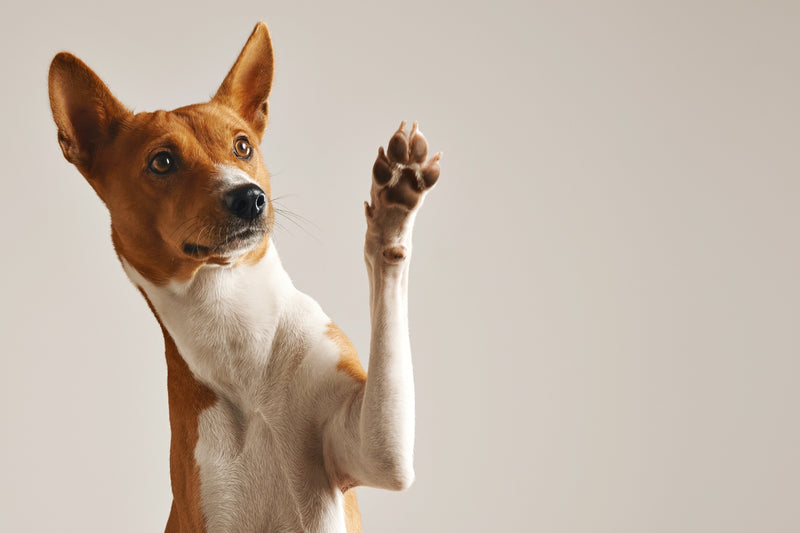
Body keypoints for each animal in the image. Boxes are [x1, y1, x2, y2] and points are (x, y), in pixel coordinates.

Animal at [47, 21, 440, 532]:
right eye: (162, 162)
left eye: (242, 146)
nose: (249, 197)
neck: (239, 338)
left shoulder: (374, 448)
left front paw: (395, 201)